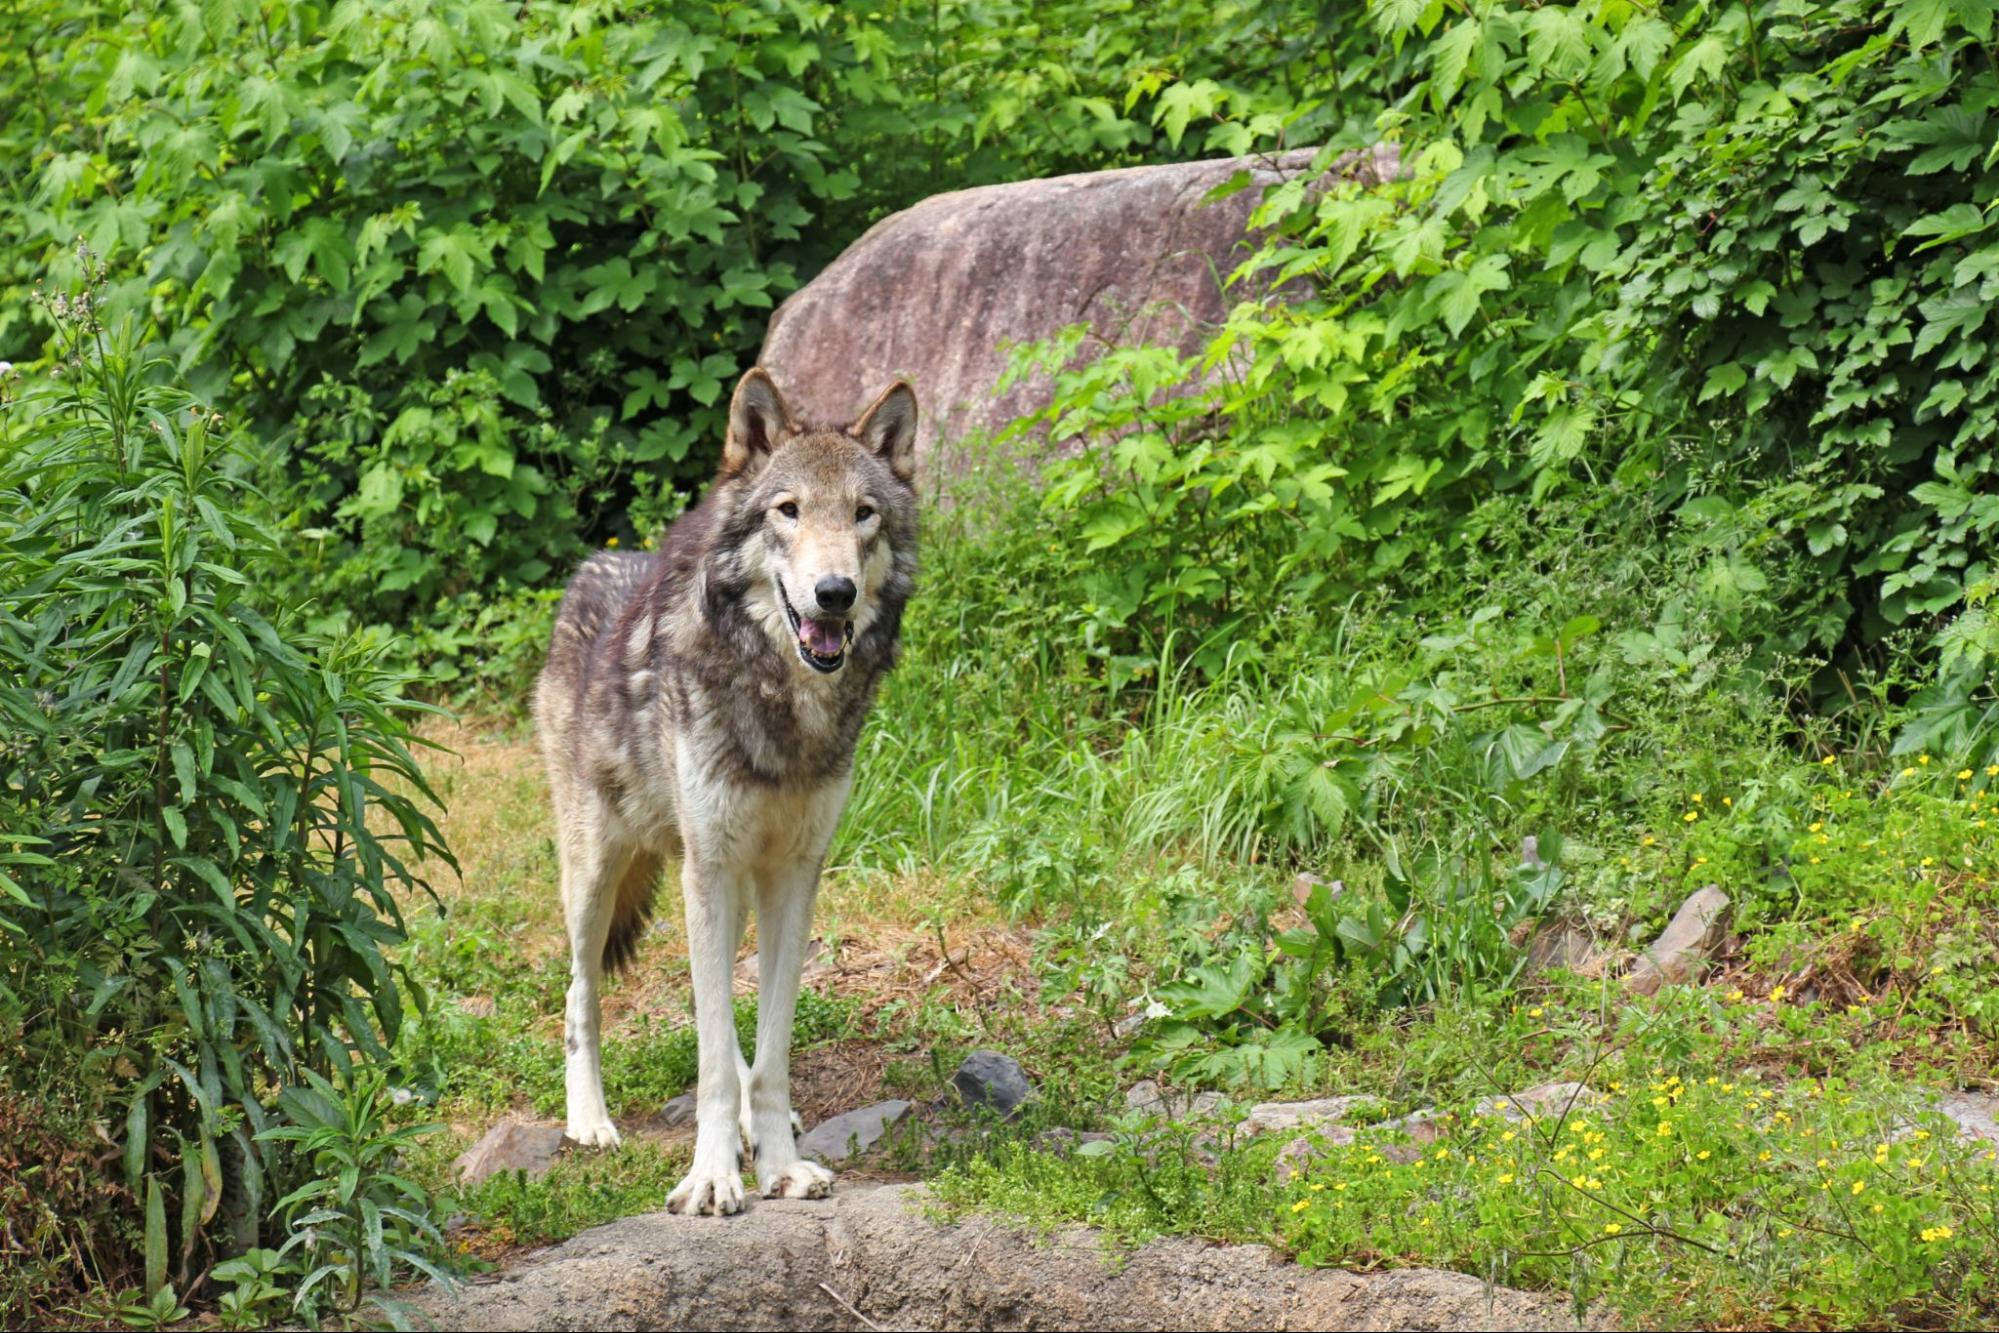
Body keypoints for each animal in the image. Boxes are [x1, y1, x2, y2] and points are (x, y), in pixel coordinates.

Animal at [539, 369, 927, 1215]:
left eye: (862, 512)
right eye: (788, 509)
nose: (834, 592)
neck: (782, 704)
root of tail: (596, 564)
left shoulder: (795, 873)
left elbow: (769, 1047)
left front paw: (779, 1161)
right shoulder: (707, 869)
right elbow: (714, 1053)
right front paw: (712, 1176)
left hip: (738, 885)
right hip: (596, 874)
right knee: (580, 992)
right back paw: (588, 1119)